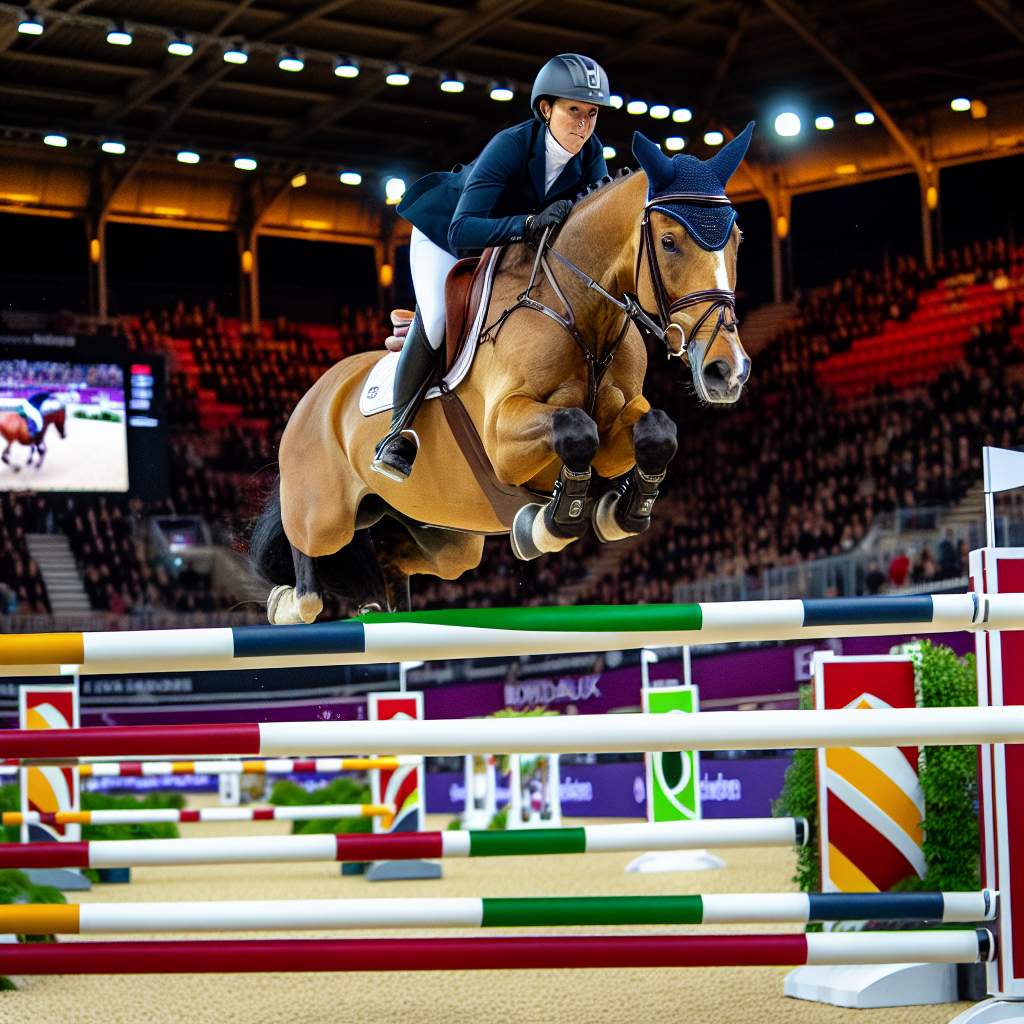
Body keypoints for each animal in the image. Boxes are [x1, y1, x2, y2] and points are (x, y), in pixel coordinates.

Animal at [0, 356, 128, 491]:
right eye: (63, 418)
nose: (63, 435)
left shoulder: (37, 439)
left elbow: (39, 450)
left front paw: (32, 462)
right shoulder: (37, 439)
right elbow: (41, 451)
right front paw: (36, 465)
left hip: (11, 440)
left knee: (6, 455)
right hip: (10, 440)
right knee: (4, 456)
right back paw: (16, 468)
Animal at [252, 128, 757, 622]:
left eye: (737, 240)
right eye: (670, 242)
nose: (726, 371)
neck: (578, 311)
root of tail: (316, 392)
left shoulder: (620, 426)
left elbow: (656, 430)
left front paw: (618, 512)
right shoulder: (502, 436)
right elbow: (575, 427)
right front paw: (545, 525)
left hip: (444, 534)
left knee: (397, 556)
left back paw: (378, 602)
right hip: (325, 514)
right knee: (310, 563)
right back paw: (290, 601)